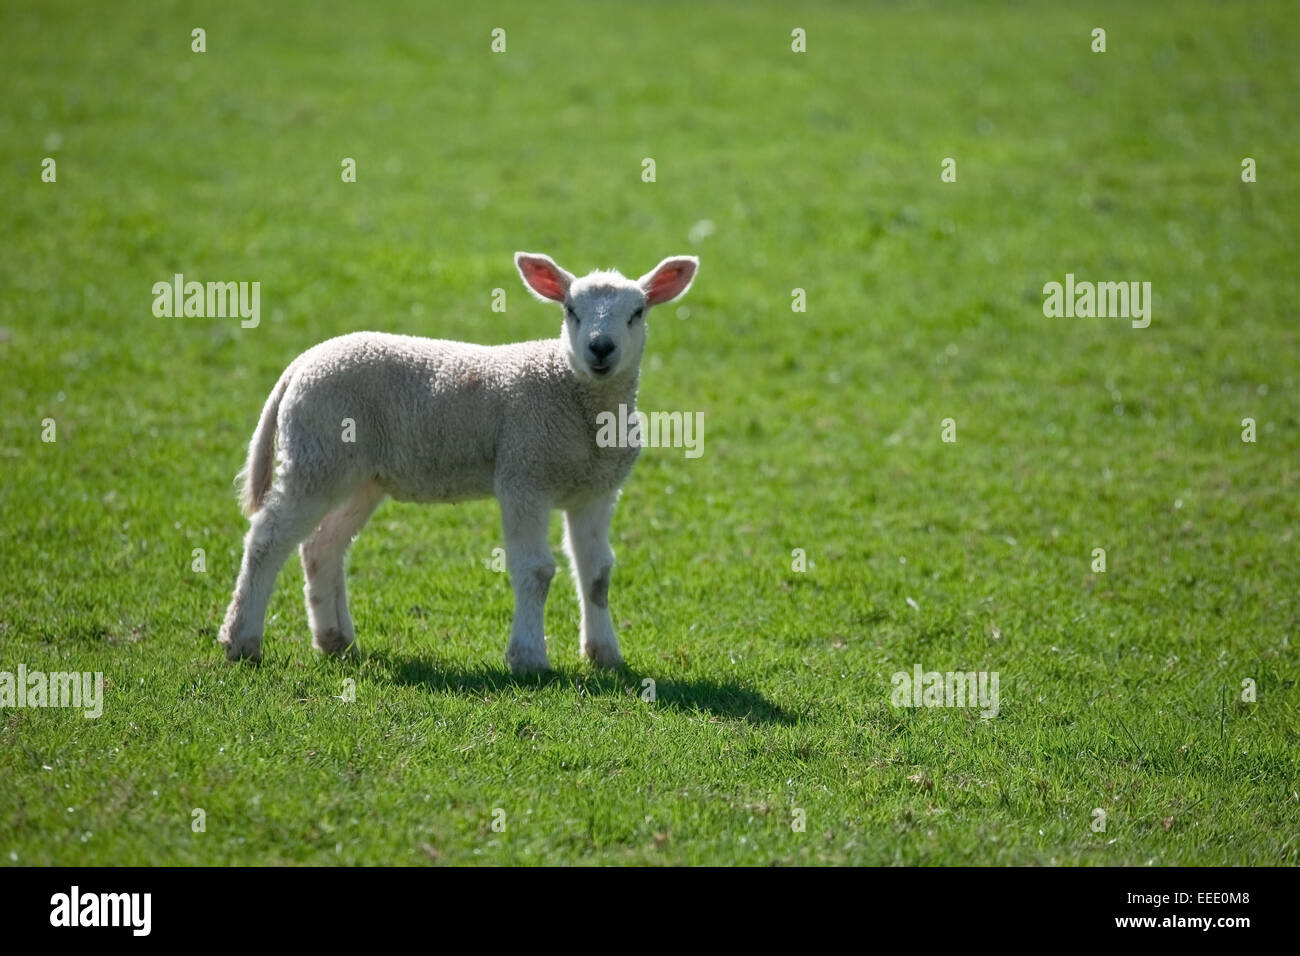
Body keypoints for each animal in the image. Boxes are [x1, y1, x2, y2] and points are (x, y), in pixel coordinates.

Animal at [218, 251, 699, 674]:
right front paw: (528, 658)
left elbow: (596, 574)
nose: (601, 348)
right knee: (267, 539)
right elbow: (536, 569)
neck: (574, 396)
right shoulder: (523, 473)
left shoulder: (596, 490)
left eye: (637, 312)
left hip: (358, 474)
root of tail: (301, 363)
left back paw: (335, 640)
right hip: (315, 455)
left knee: (322, 545)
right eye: (570, 310)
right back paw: (241, 641)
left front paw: (605, 655)